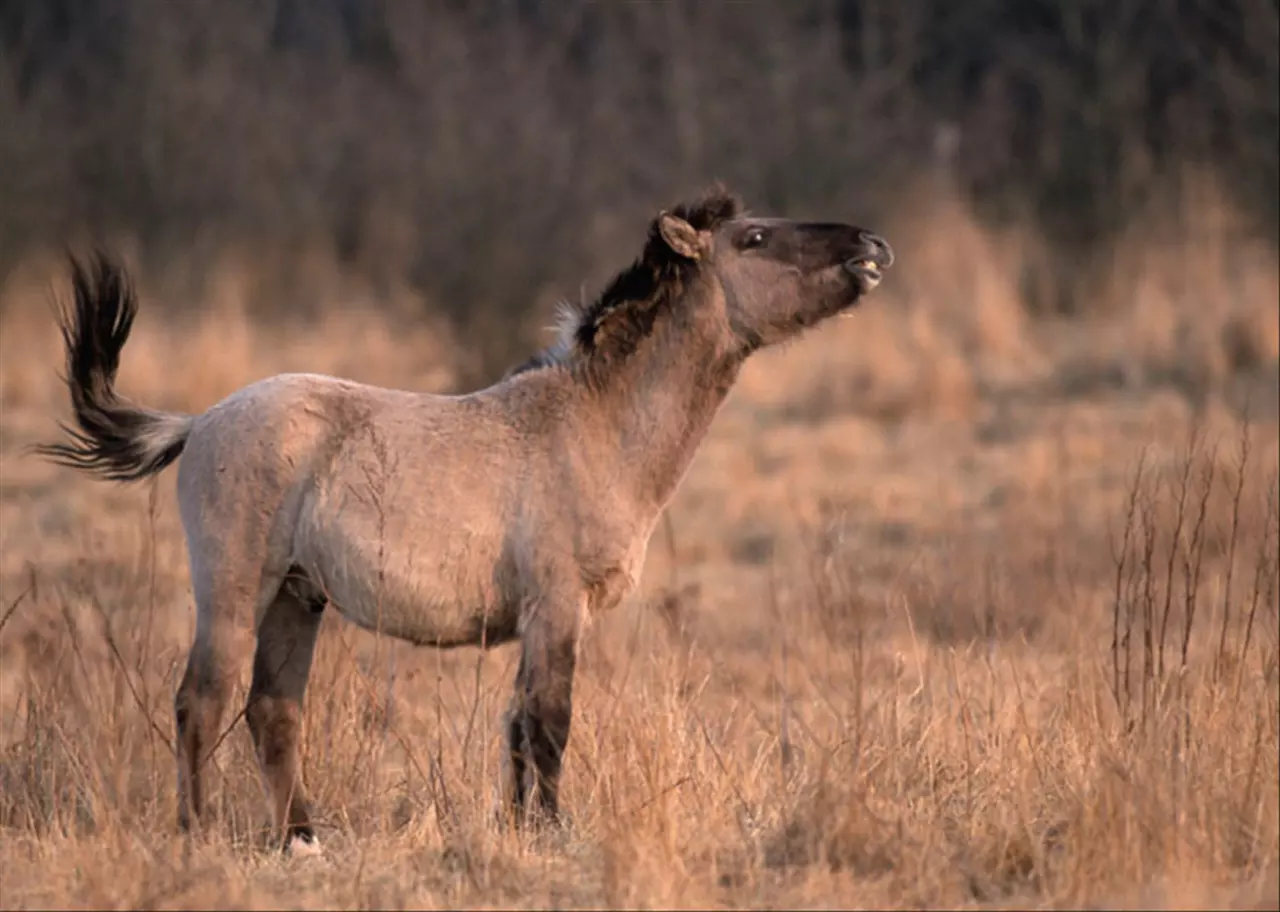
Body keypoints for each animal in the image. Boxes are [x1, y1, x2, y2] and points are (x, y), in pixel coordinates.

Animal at [37, 187, 890, 855]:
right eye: (755, 238)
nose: (872, 247)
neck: (592, 424)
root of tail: (200, 420)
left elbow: (517, 728)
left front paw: (522, 831)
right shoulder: (558, 608)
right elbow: (548, 723)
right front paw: (552, 836)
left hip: (295, 599)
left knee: (272, 712)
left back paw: (302, 842)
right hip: (235, 592)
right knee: (201, 703)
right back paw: (199, 836)